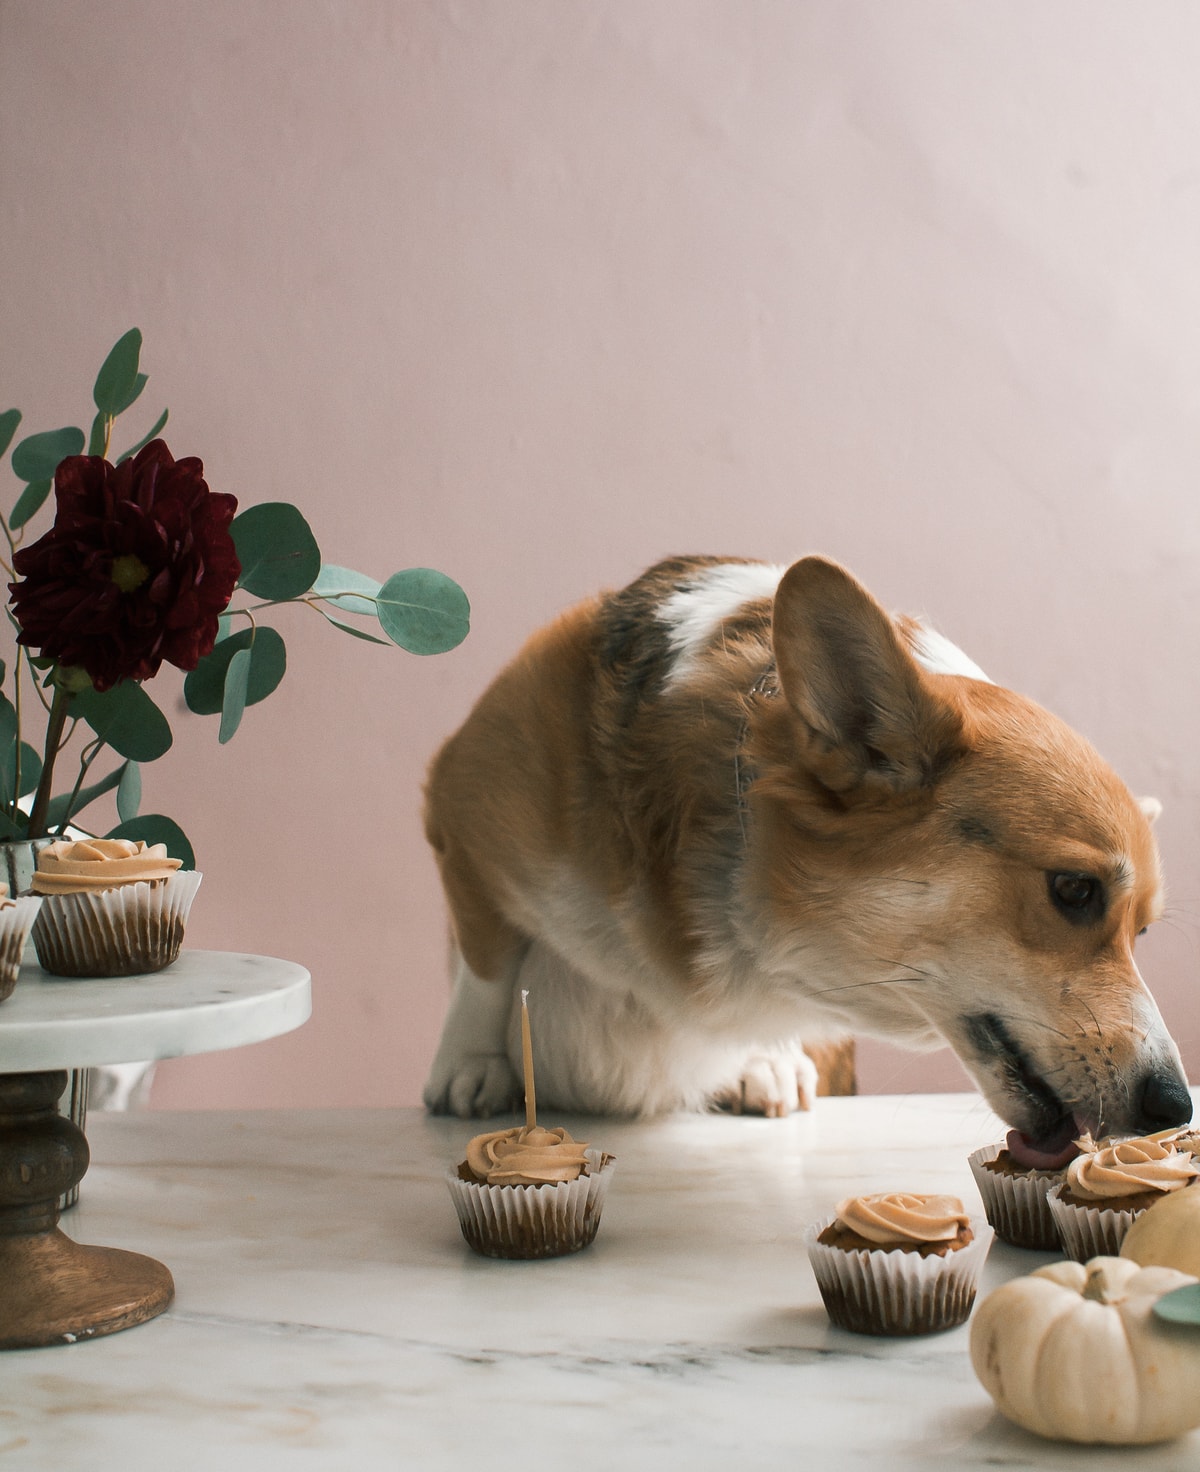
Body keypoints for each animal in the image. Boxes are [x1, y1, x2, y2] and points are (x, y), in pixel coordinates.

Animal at [421, 553, 1189, 1159]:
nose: (1176, 1108)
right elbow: (487, 969)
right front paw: (471, 1065)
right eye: (1075, 890)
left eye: (1142, 930)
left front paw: (768, 1052)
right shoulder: (457, 813)